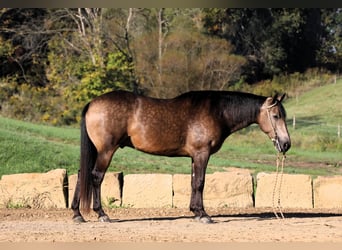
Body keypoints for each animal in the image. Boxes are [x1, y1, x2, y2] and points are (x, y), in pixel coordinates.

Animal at [71, 91, 290, 224]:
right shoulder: (202, 153)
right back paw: (101, 214)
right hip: (106, 150)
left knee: (82, 174)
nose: (286, 144)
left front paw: (195, 211)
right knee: (96, 177)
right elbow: (200, 182)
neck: (217, 112)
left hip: (97, 151)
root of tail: (92, 103)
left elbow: (194, 182)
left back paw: (77, 213)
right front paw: (203, 215)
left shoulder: (195, 156)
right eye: (276, 116)